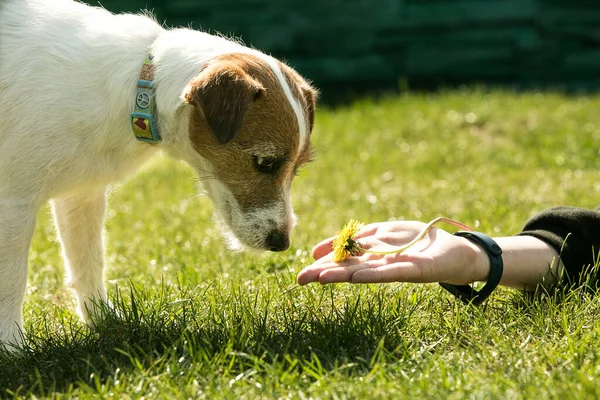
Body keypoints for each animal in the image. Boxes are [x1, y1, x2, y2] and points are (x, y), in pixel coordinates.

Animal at [0, 0, 318, 346]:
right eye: (266, 163)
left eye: (297, 168)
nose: (282, 243)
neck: (140, 86)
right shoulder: (13, 202)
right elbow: (11, 278)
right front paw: (12, 346)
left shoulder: (82, 195)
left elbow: (89, 260)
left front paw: (104, 321)